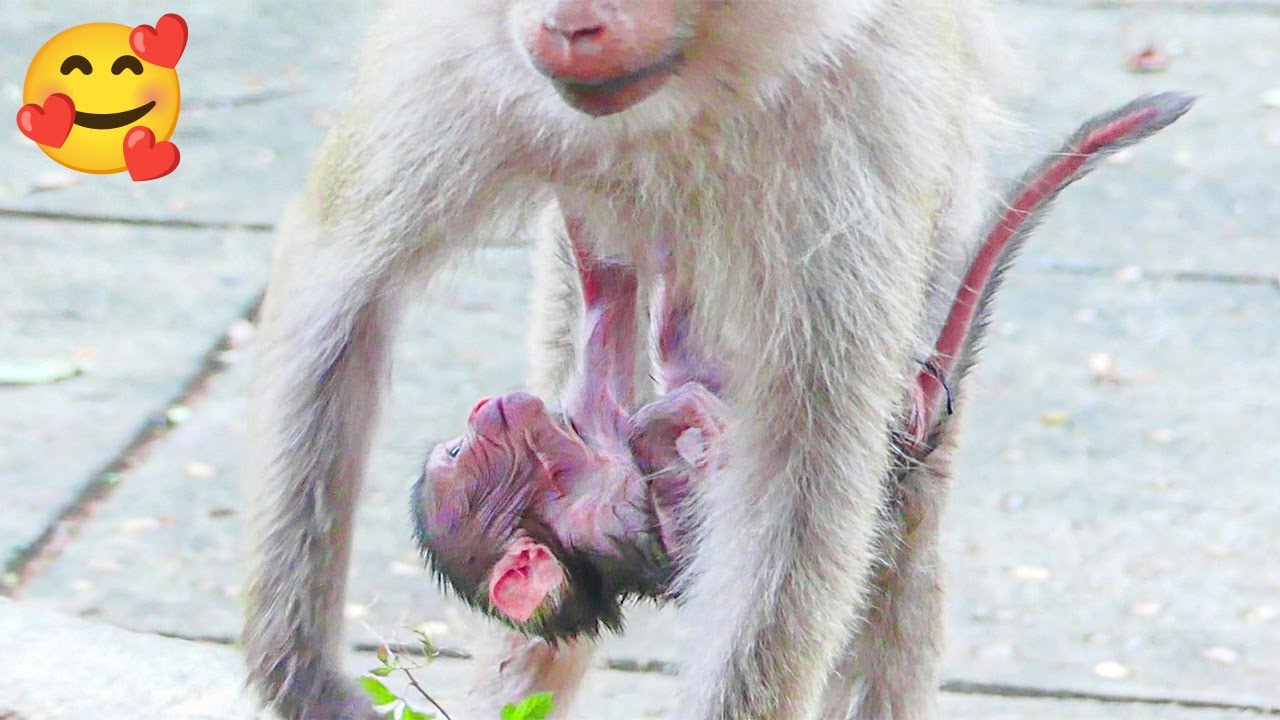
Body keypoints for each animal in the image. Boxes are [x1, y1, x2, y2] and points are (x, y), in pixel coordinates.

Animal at [408, 92, 1196, 651]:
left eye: (452, 448)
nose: (481, 411)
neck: (564, 477)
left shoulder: (580, 433)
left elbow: (609, 310)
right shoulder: (592, 516)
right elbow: (668, 496)